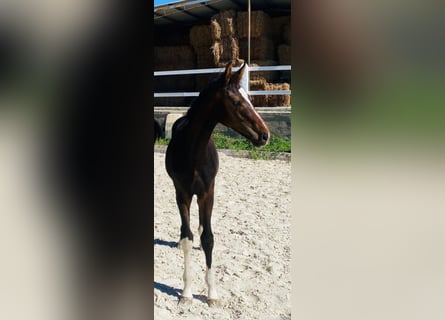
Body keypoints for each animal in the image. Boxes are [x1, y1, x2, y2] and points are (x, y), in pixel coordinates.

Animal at [166, 62, 268, 304]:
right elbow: (187, 237)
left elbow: (208, 239)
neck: (194, 154)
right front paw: (186, 292)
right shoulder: (182, 193)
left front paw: (212, 294)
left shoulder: (207, 193)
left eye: (249, 98)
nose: (265, 135)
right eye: (237, 102)